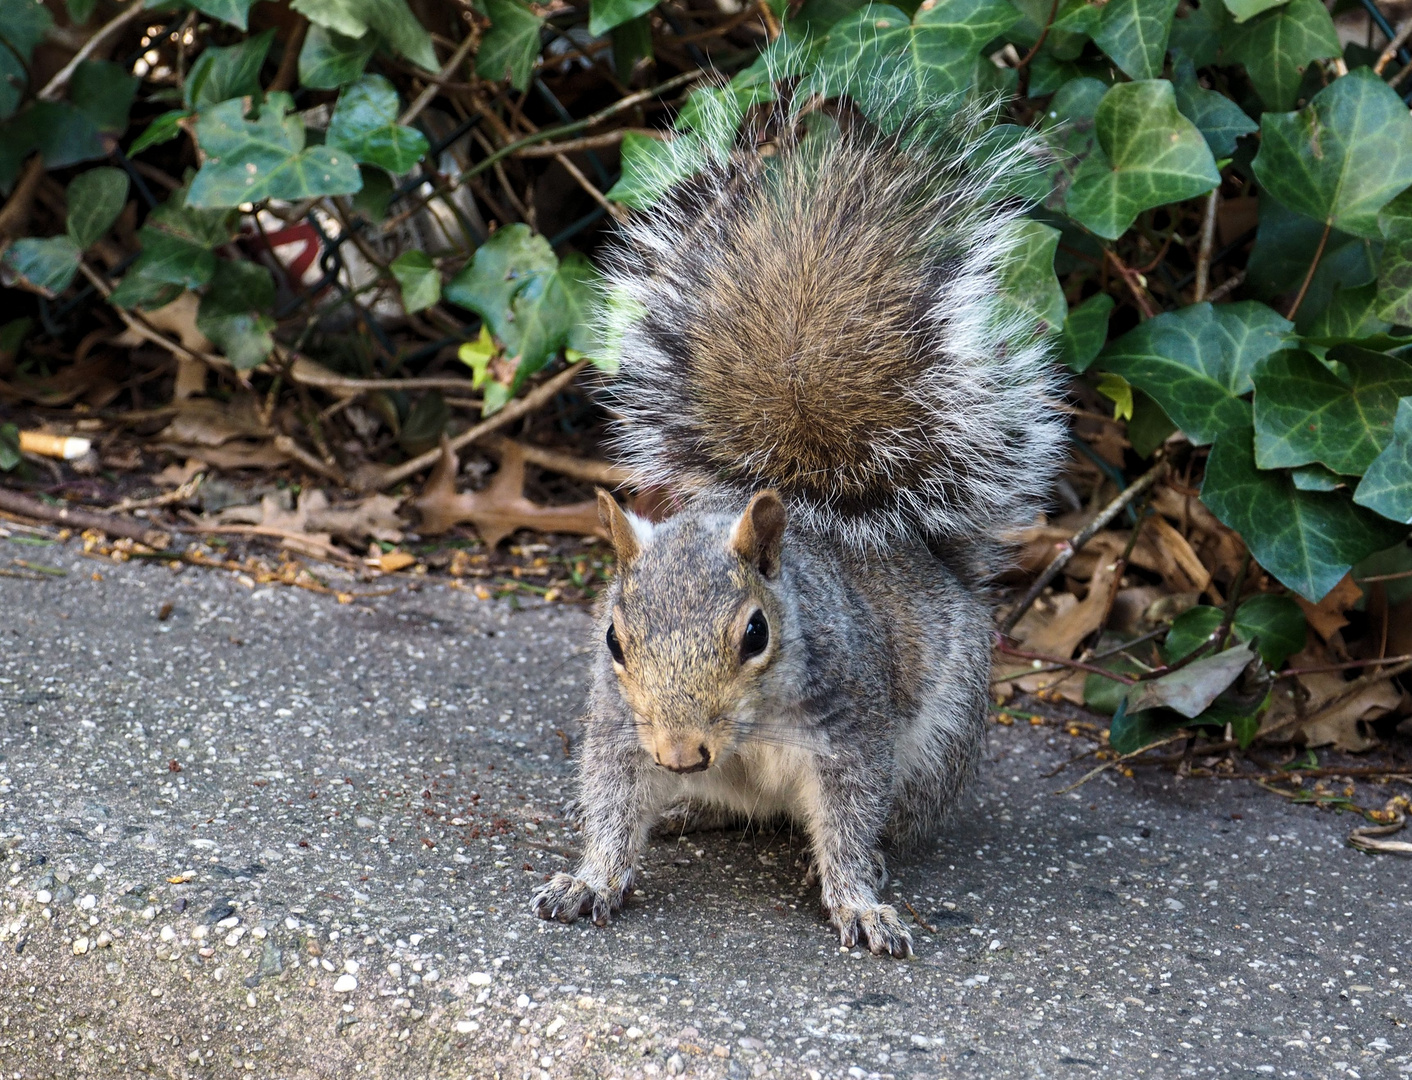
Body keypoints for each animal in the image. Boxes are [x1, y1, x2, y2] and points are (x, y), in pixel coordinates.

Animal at [533, 88, 1061, 954]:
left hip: (941, 744)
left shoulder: (850, 730)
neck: (748, 734)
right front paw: (591, 878)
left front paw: (859, 902)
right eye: (613, 639)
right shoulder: (619, 726)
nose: (680, 752)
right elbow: (610, 802)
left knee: (881, 819)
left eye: (756, 634)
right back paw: (686, 811)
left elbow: (847, 821)